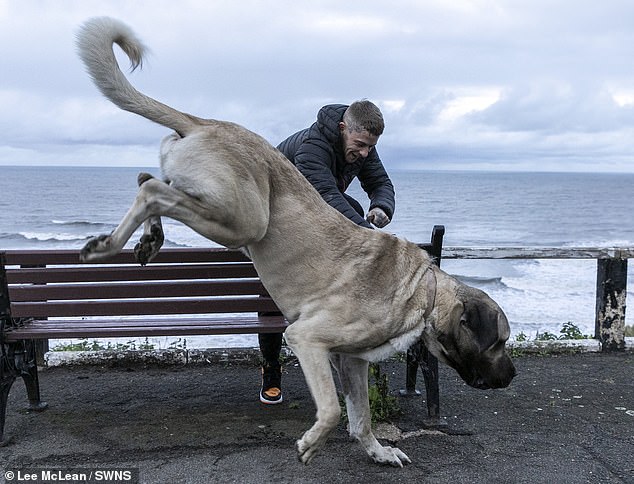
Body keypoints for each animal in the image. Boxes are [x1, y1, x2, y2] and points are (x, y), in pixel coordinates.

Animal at [78, 17, 512, 466]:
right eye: (499, 341)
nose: (511, 375)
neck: (421, 291)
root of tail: (207, 123)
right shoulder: (307, 339)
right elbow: (334, 410)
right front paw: (313, 442)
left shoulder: (350, 361)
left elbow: (361, 417)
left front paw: (378, 451)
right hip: (244, 219)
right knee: (151, 191)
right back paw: (108, 244)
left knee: (147, 179)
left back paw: (150, 238)